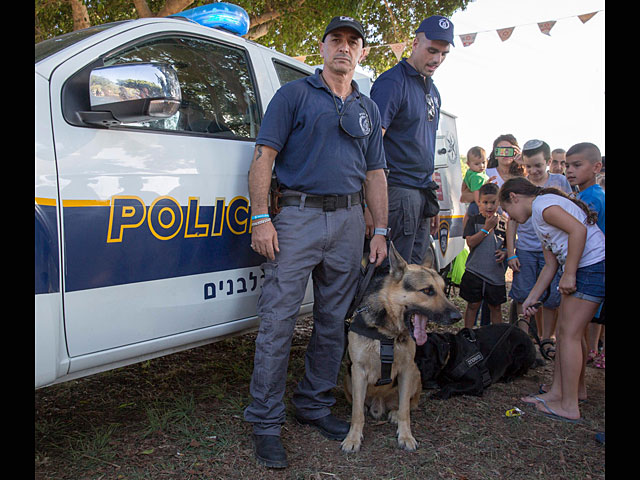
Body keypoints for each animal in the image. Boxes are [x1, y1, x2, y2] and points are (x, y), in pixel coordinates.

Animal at [342, 246, 462, 452]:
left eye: (443, 290)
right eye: (428, 290)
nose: (458, 317)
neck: (388, 332)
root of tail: (379, 404)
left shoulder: (406, 370)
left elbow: (406, 409)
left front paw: (405, 436)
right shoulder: (358, 370)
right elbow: (357, 413)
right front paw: (353, 438)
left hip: (415, 373)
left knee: (408, 403)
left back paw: (394, 413)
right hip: (348, 378)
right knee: (360, 405)